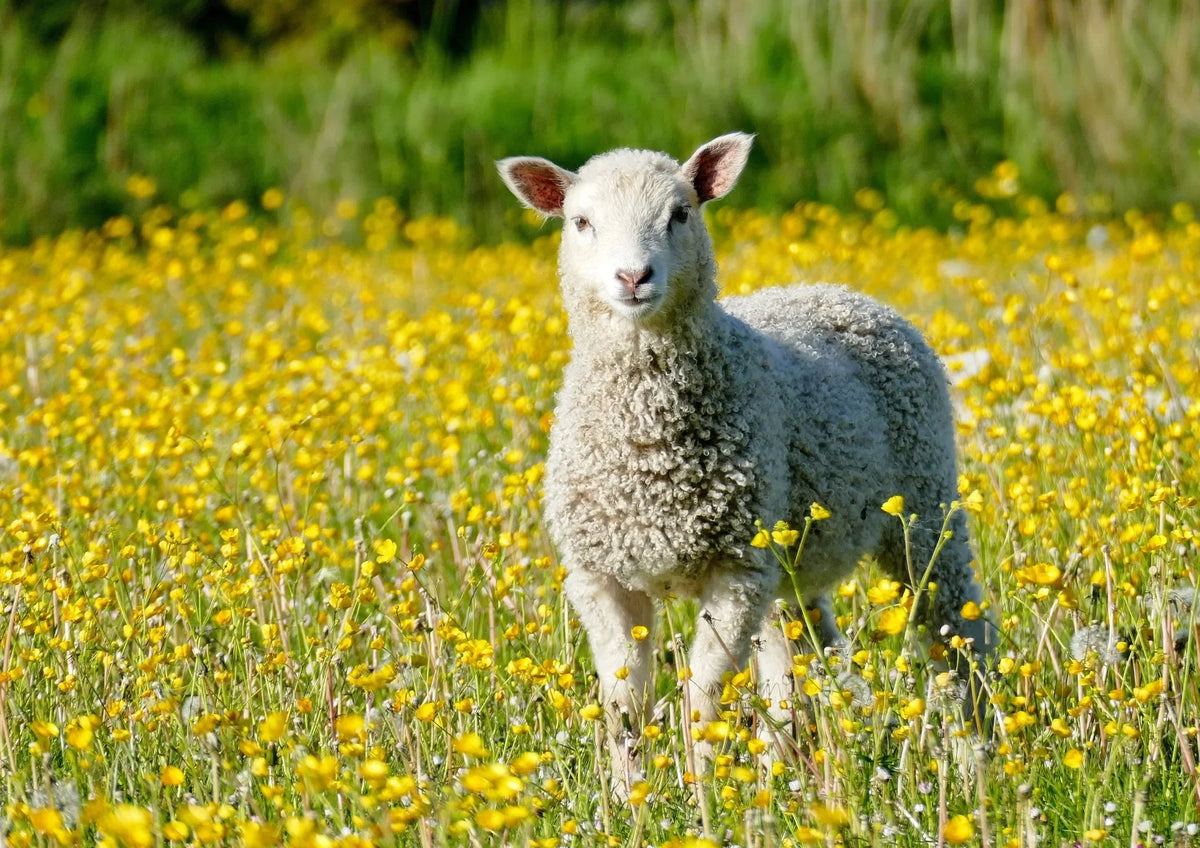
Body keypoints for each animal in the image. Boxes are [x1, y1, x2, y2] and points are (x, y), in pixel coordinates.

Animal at [497, 132, 992, 790]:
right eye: (581, 222)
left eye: (680, 214)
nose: (633, 276)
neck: (648, 446)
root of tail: (838, 291)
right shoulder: (600, 575)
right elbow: (625, 701)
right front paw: (631, 795)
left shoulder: (735, 570)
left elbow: (703, 698)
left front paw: (700, 788)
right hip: (791, 557)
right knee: (803, 655)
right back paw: (801, 771)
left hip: (924, 502)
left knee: (955, 630)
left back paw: (979, 757)